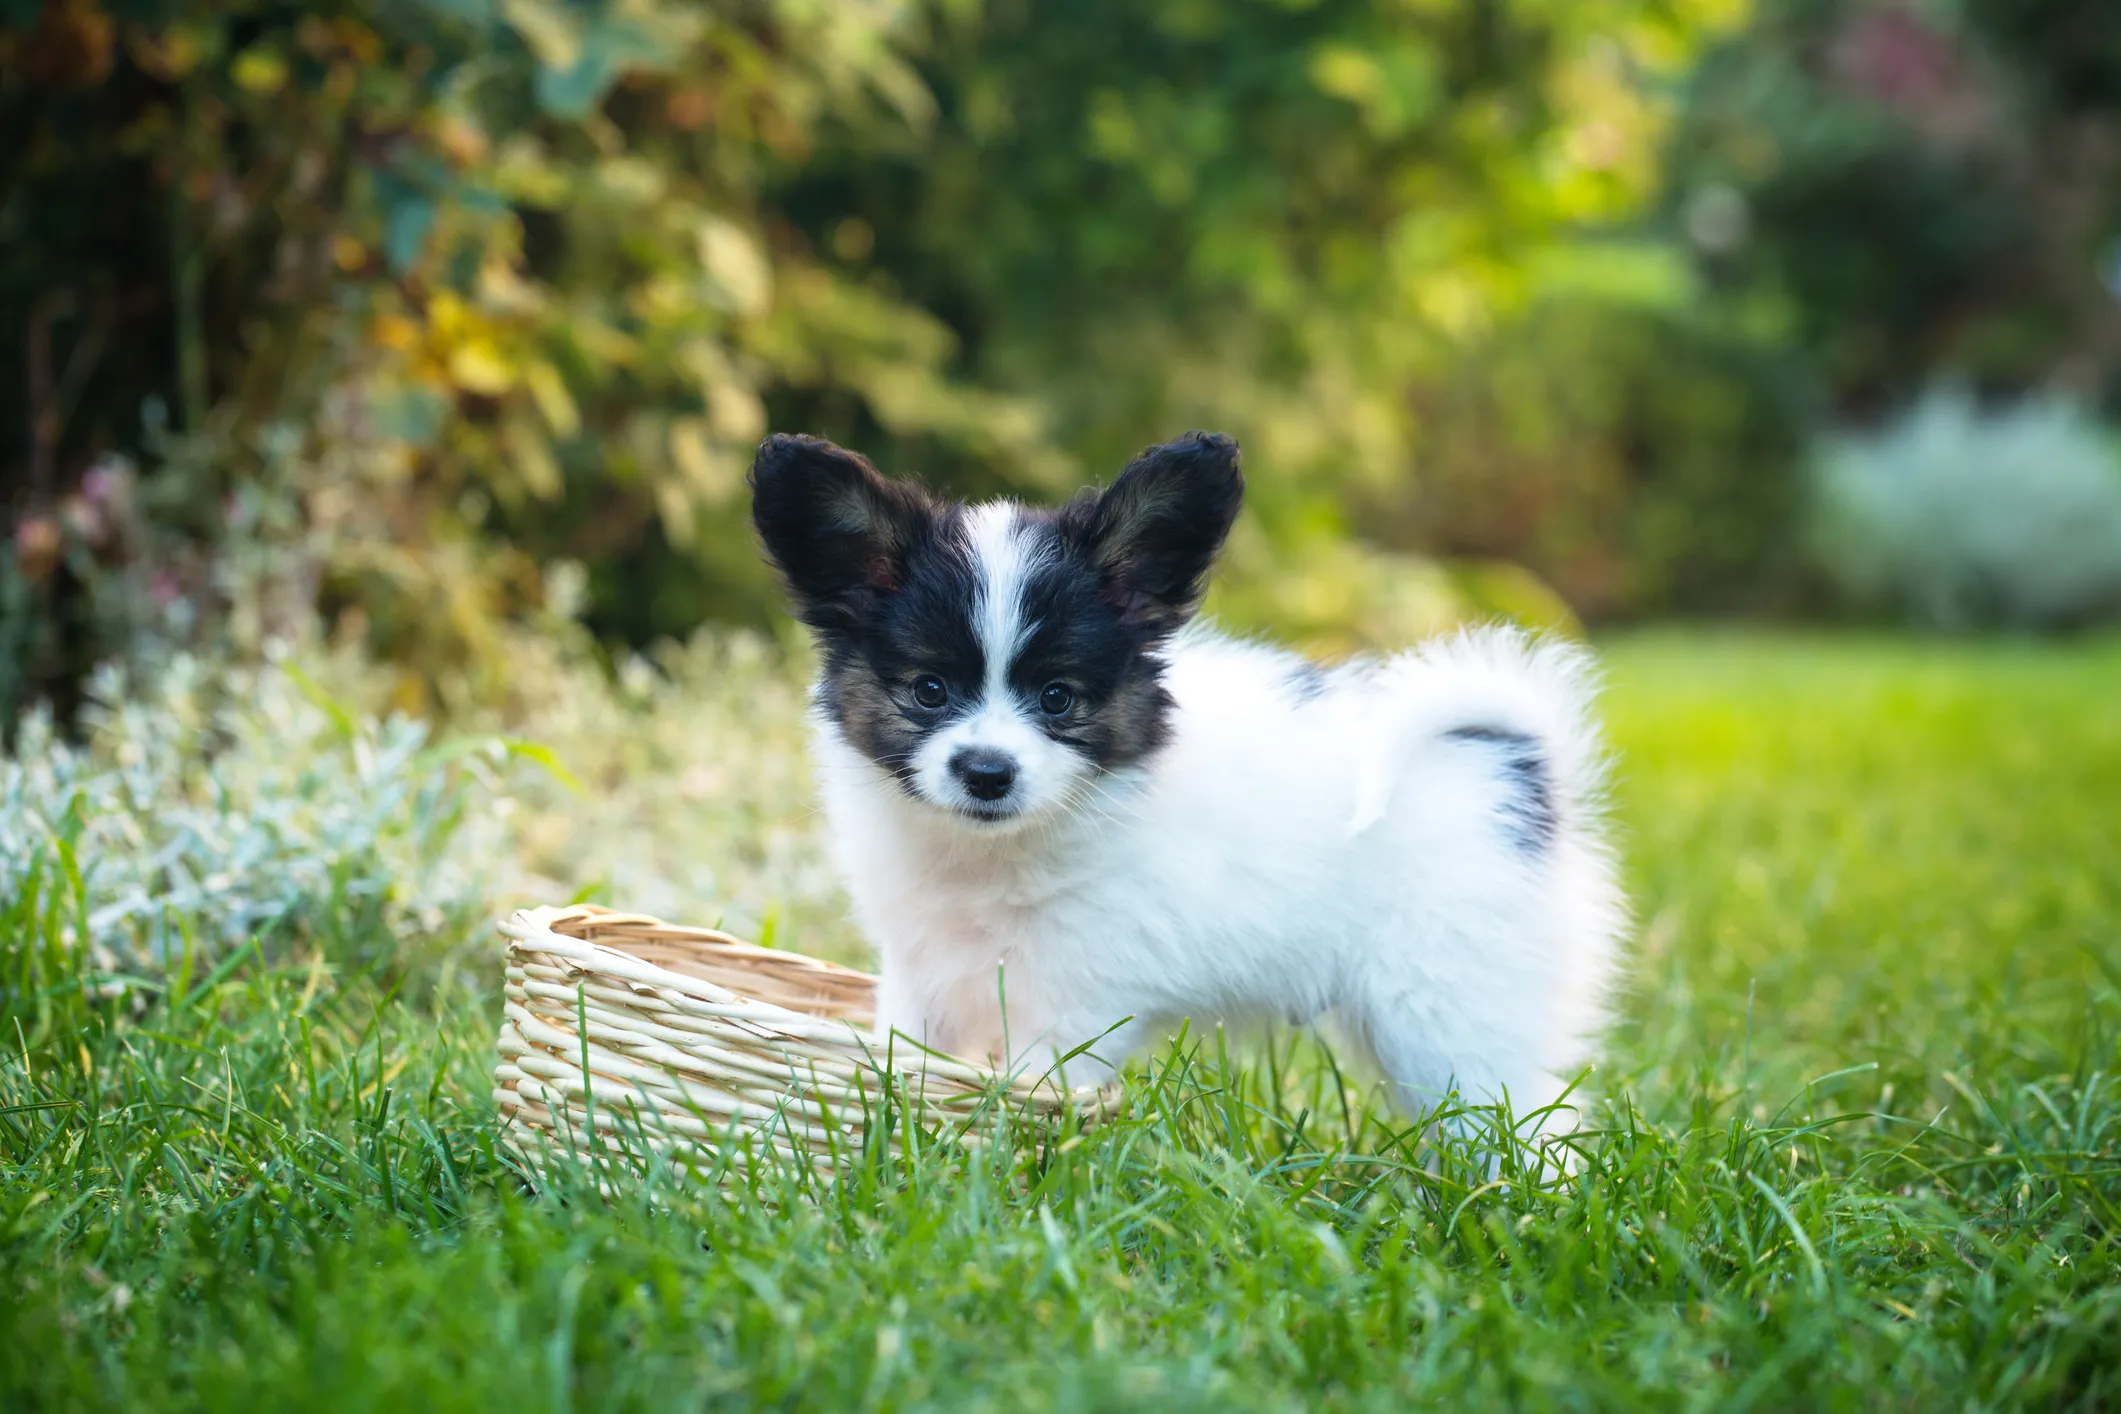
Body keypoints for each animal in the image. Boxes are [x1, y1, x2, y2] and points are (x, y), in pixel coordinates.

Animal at [755, 426, 1628, 1119]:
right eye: (928, 690)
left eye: (1057, 697)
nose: (986, 772)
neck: (986, 855)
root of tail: (1513, 759)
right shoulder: (918, 970)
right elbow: (903, 1057)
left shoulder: (1072, 1001)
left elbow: (1034, 1086)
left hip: (1451, 1013)